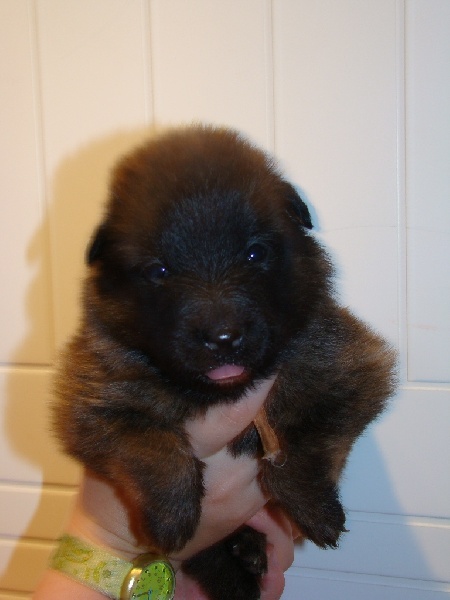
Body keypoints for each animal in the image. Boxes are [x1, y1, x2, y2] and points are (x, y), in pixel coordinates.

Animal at [54, 125, 396, 600]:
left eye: (255, 253)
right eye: (158, 271)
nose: (223, 338)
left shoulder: (351, 365)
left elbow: (305, 438)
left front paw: (316, 509)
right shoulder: (92, 399)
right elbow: (149, 446)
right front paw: (172, 517)